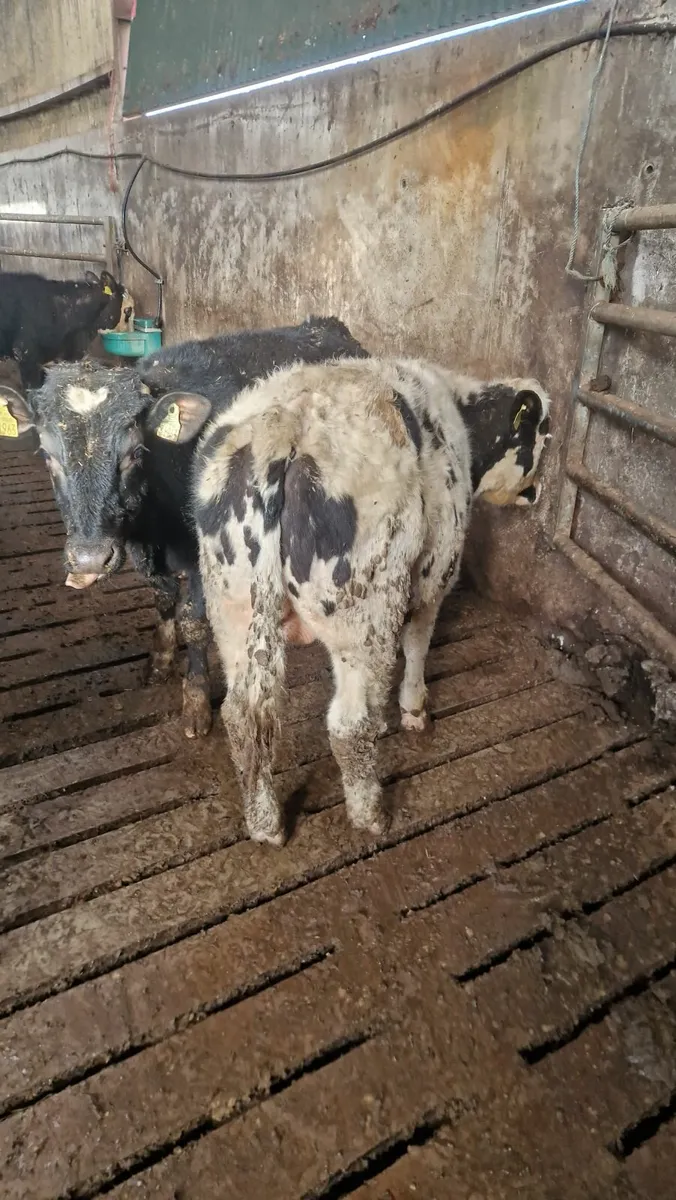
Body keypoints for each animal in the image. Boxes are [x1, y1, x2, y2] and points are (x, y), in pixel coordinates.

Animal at [0, 317, 368, 736]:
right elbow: (162, 600)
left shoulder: (200, 553)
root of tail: (327, 326)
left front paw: (195, 701)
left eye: (134, 453)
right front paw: (158, 661)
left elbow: (193, 621)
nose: (90, 558)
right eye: (47, 456)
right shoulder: (144, 550)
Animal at [167, 357, 551, 846]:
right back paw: (371, 816)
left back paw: (265, 824)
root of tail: (283, 426)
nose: (537, 491)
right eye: (542, 431)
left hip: (233, 609)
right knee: (348, 725)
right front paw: (412, 710)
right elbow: (417, 645)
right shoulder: (435, 574)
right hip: (362, 617)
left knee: (242, 716)